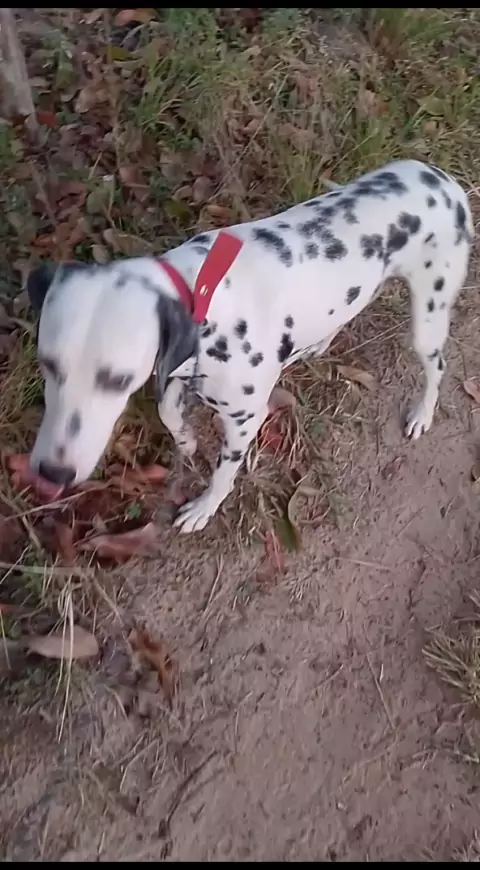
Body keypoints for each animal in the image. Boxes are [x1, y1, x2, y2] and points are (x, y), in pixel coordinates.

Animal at [26, 159, 473, 533]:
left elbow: (223, 474)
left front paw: (204, 507)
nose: (52, 474)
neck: (204, 294)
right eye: (47, 364)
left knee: (436, 368)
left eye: (117, 380)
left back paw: (422, 413)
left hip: (428, 321)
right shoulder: (176, 371)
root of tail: (445, 181)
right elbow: (169, 413)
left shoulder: (244, 421)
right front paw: (186, 440)